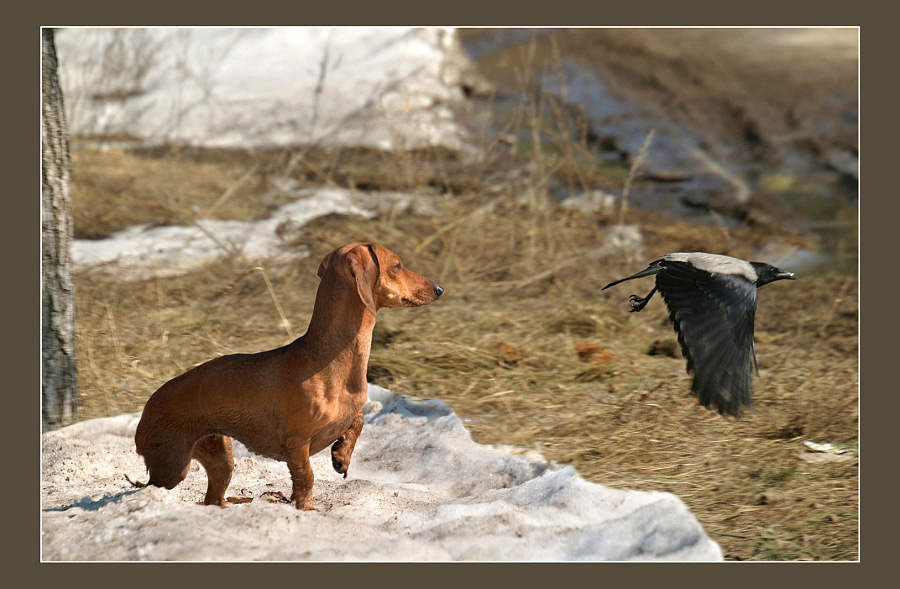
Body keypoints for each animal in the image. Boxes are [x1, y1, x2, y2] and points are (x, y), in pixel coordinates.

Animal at [134, 241, 442, 508]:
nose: (439, 289)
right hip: (173, 466)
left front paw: (341, 455)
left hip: (221, 457)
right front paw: (306, 509)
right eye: (397, 265)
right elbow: (306, 479)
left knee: (213, 496)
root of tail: (146, 410)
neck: (327, 358)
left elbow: (359, 418)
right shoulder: (296, 443)